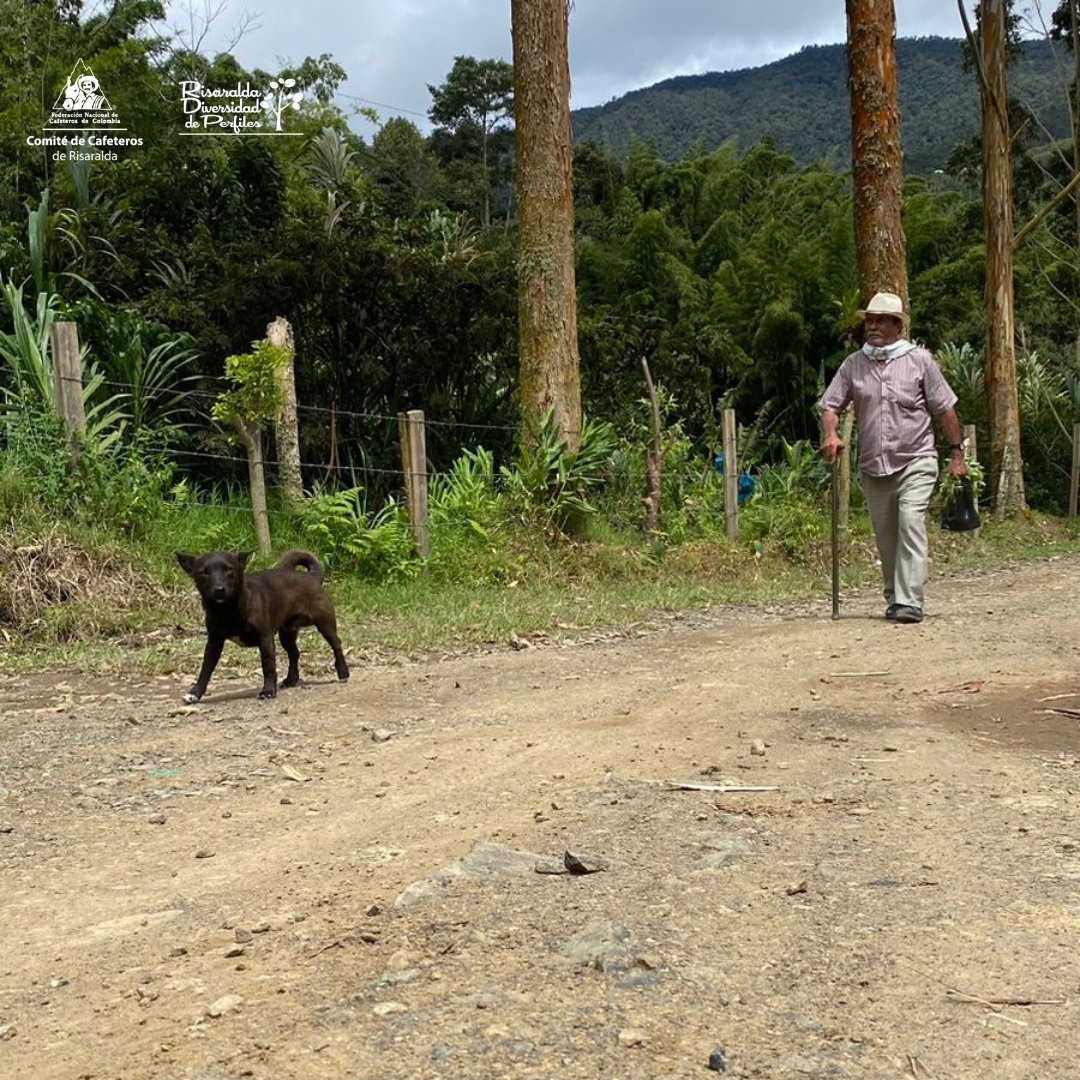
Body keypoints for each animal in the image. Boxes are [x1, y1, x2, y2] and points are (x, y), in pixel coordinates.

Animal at [174, 552, 347, 704]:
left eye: (229, 569)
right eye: (204, 572)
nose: (219, 589)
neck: (227, 610)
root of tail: (312, 576)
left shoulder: (265, 639)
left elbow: (268, 667)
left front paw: (268, 691)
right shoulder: (214, 643)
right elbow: (205, 670)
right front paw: (195, 693)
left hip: (325, 624)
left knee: (337, 645)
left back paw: (343, 672)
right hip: (286, 633)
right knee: (294, 653)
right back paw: (291, 679)